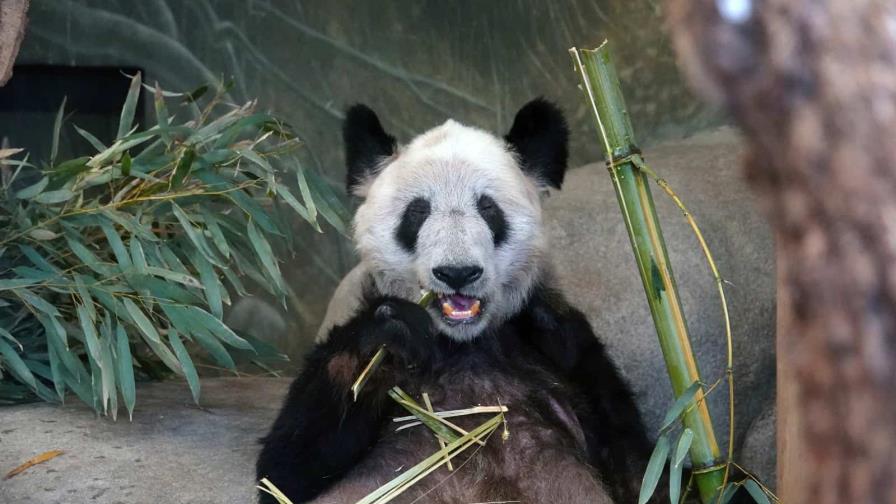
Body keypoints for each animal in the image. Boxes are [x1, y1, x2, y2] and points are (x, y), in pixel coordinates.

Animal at [256, 99, 656, 504]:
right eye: (417, 211)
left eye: (488, 208)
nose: (457, 272)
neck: (461, 343)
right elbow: (287, 469)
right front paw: (390, 333)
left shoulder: (565, 353)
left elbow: (637, 466)